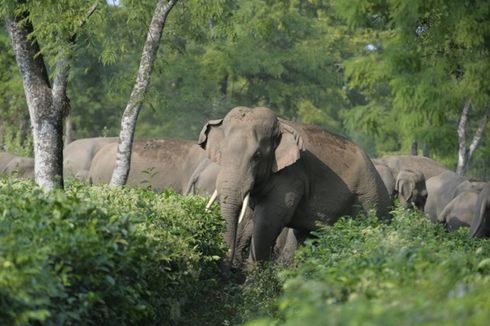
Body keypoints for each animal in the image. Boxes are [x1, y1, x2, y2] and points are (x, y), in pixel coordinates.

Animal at [197, 107, 392, 262]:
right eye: (221, 152)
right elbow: (251, 220)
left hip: (370, 204)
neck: (281, 125)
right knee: (305, 237)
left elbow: (267, 222)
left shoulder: (291, 176)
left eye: (257, 156)